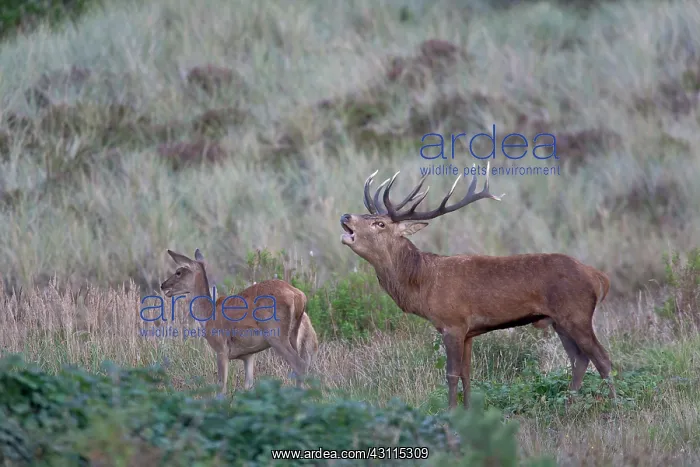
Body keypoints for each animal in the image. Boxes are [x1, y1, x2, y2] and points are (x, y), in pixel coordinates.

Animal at [160, 248, 315, 395]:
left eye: (178, 272)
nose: (163, 285)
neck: (208, 316)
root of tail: (299, 296)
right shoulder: (248, 355)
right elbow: (248, 386)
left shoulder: (221, 347)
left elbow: (222, 386)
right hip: (295, 335)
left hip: (275, 334)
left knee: (299, 364)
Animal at [339, 161, 616, 410]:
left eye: (380, 223)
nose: (345, 215)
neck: (423, 284)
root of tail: (598, 276)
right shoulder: (469, 332)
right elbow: (467, 374)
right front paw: (469, 410)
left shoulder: (452, 324)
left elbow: (451, 374)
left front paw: (450, 412)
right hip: (559, 321)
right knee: (579, 359)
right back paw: (569, 404)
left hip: (576, 314)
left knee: (602, 359)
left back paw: (614, 405)